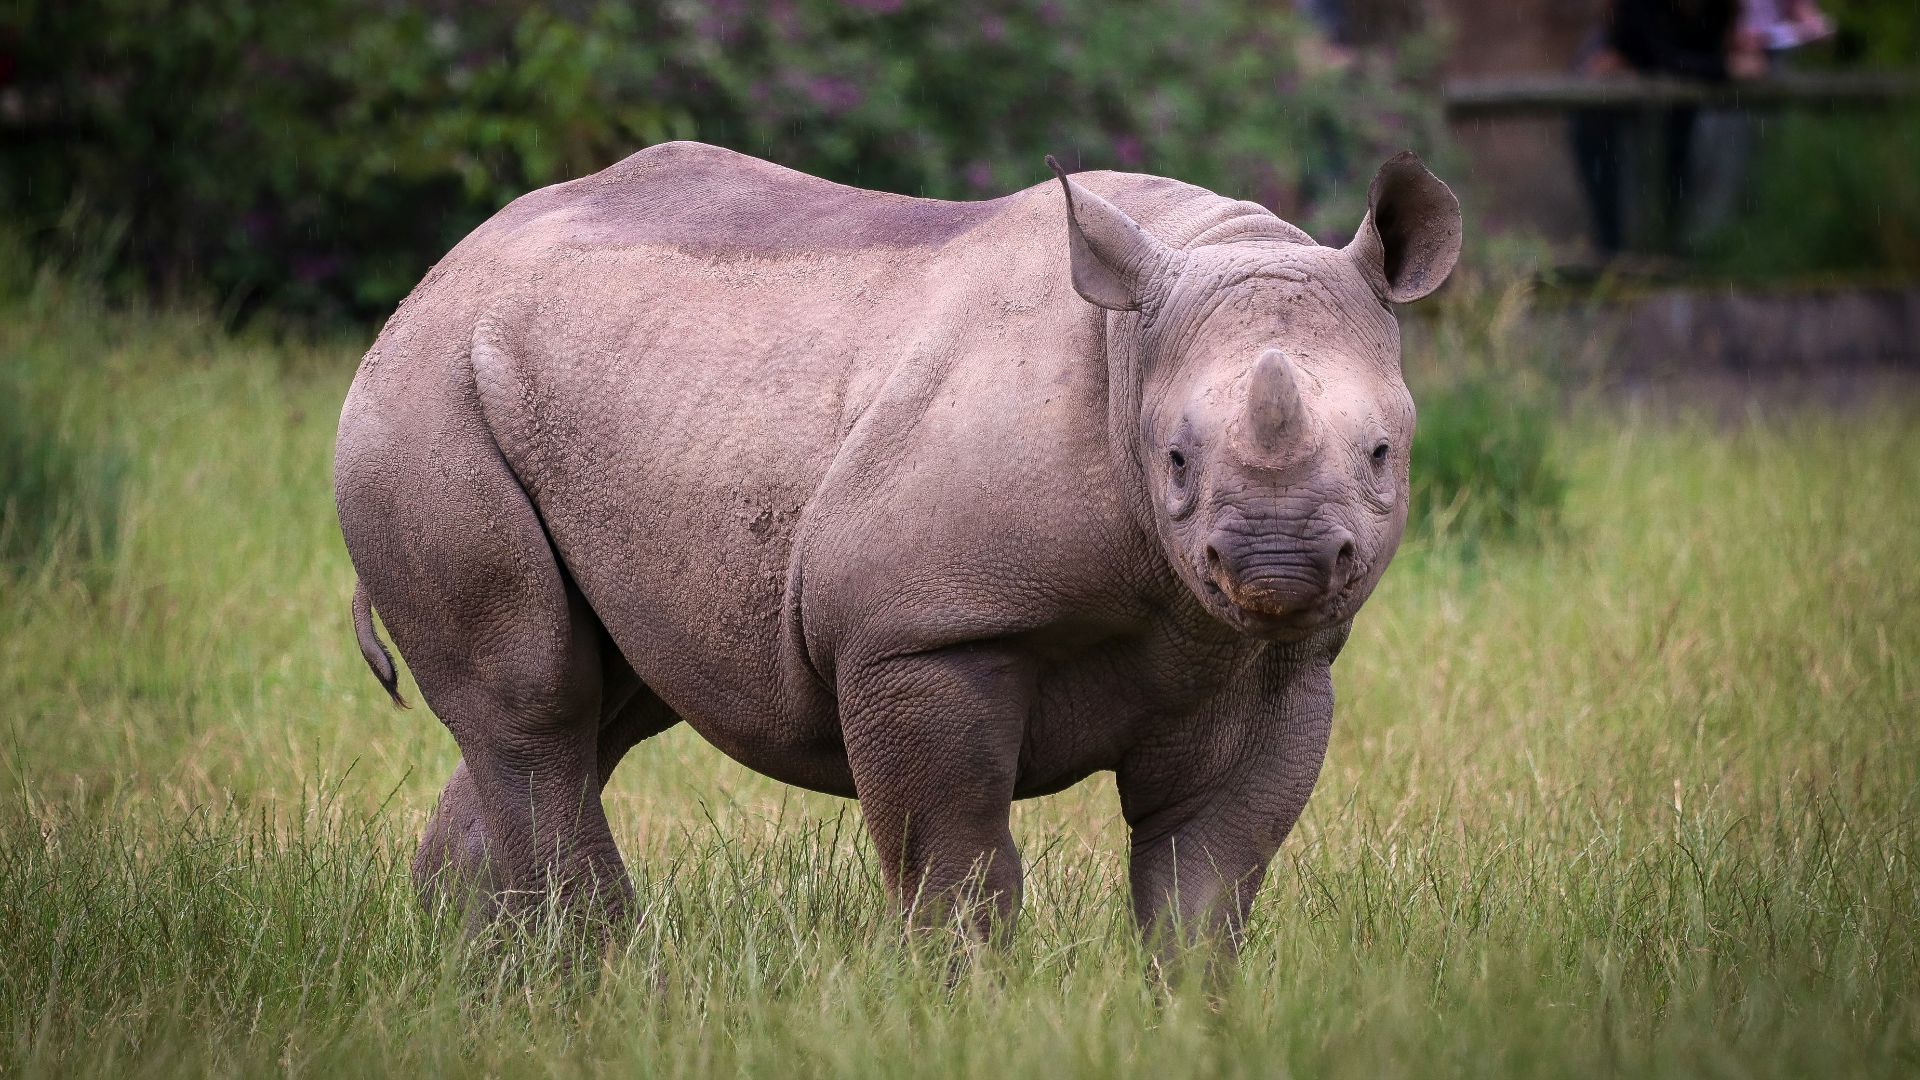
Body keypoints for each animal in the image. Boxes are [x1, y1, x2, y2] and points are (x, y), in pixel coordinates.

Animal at [334, 141, 1460, 956]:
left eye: (1382, 453)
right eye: (1175, 460)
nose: (1280, 570)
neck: (1130, 354)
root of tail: (449, 265)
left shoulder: (1276, 663)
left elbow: (1209, 871)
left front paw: (1187, 1009)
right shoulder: (920, 635)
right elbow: (955, 861)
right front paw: (968, 998)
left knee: (606, 700)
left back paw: (480, 966)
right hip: (422, 396)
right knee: (537, 700)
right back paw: (598, 965)